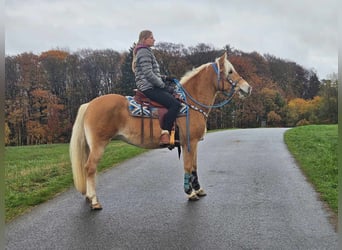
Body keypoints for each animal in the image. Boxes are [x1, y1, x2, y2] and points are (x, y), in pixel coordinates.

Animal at [69, 52, 251, 209]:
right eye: (230, 71)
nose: (247, 88)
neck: (190, 104)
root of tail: (89, 104)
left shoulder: (194, 144)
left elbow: (194, 166)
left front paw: (198, 189)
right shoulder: (188, 143)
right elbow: (187, 166)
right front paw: (190, 193)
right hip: (98, 145)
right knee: (90, 168)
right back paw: (94, 201)